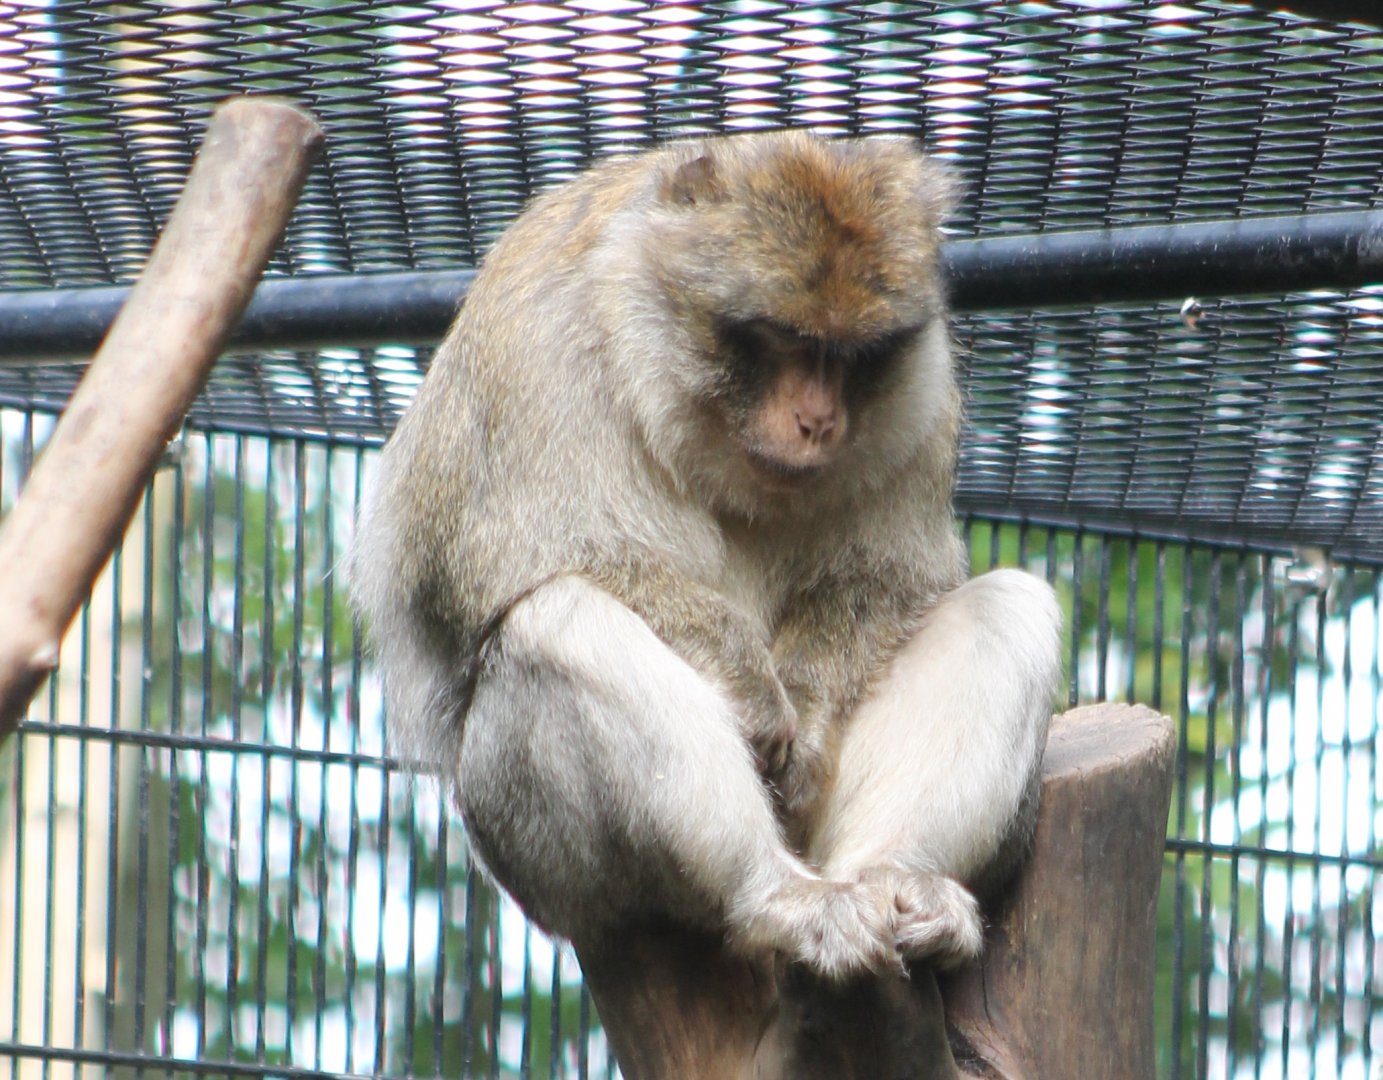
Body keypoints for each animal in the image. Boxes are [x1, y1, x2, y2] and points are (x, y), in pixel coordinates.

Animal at [349, 130, 1062, 984]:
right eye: (786, 340)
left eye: (855, 356)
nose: (818, 420)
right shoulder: (536, 341)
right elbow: (498, 562)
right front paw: (751, 688)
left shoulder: (923, 399)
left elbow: (890, 578)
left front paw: (806, 711)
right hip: (540, 860)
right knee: (556, 619)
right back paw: (775, 897)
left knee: (1010, 607)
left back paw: (895, 881)